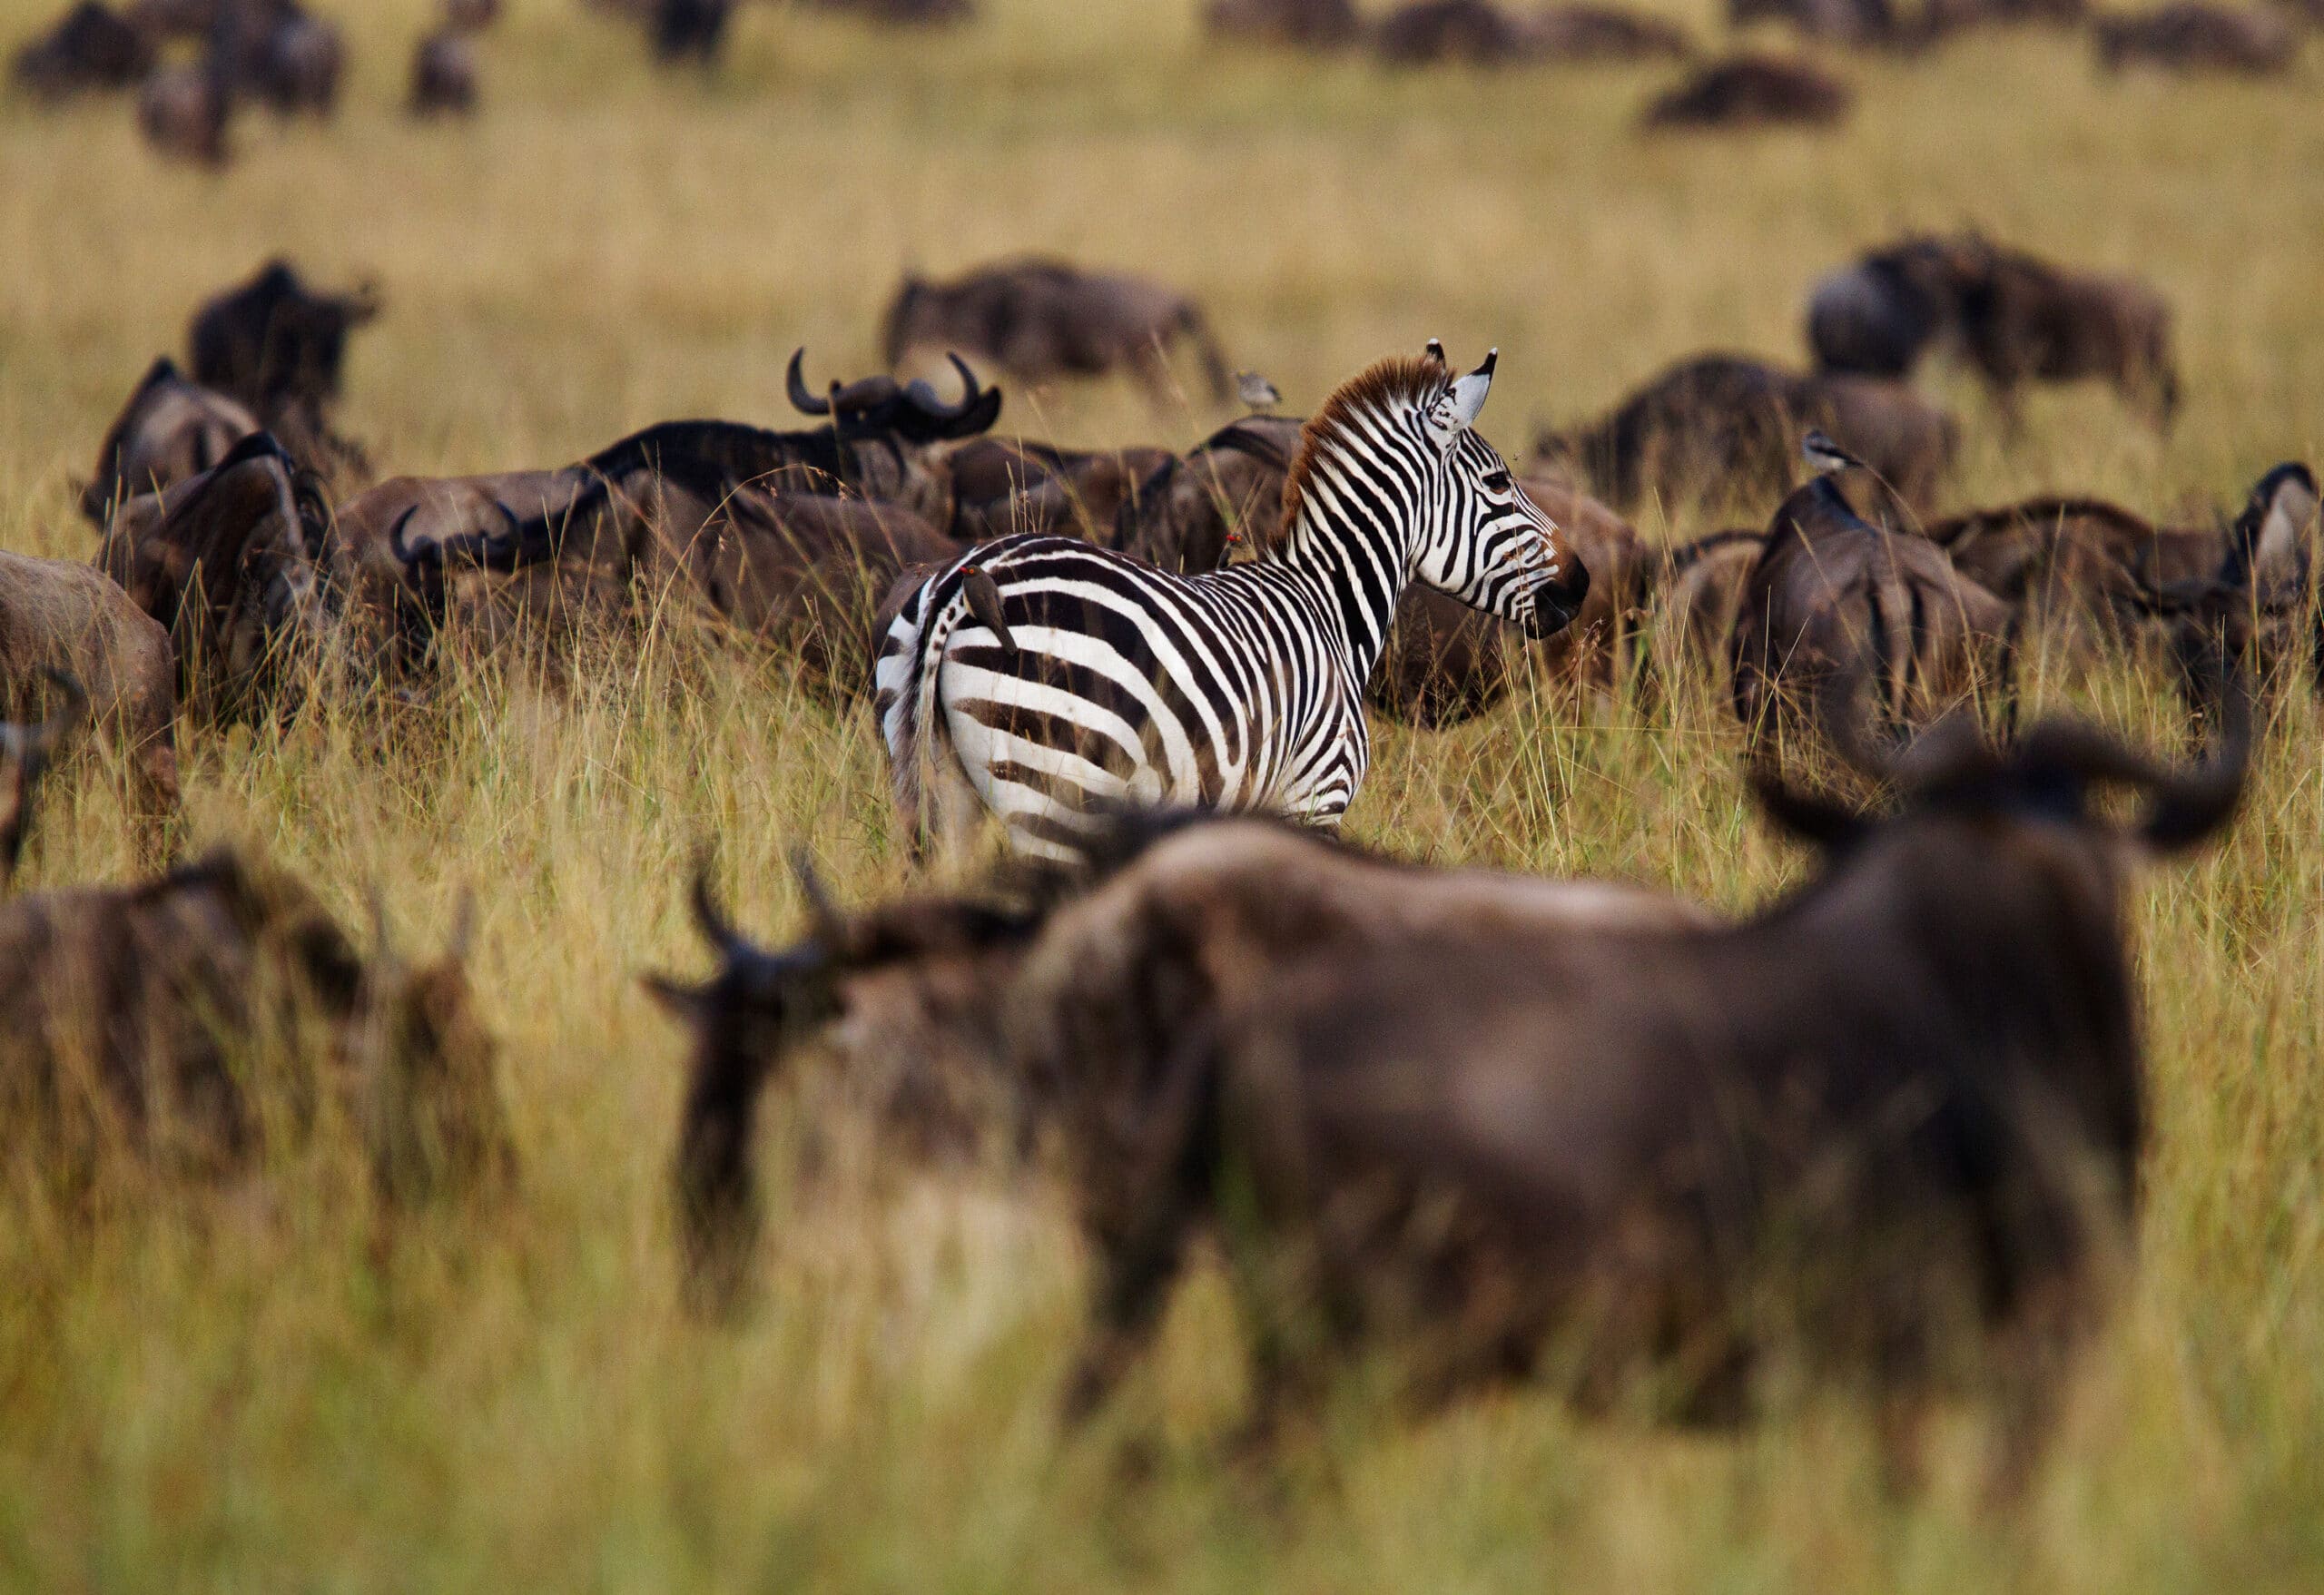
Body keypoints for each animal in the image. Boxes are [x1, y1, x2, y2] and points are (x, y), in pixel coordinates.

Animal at [873, 339, 1599, 860]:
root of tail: (965, 584)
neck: (1330, 605)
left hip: (950, 789)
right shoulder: (1314, 796)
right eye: (1499, 482)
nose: (1582, 582)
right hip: (1055, 791)